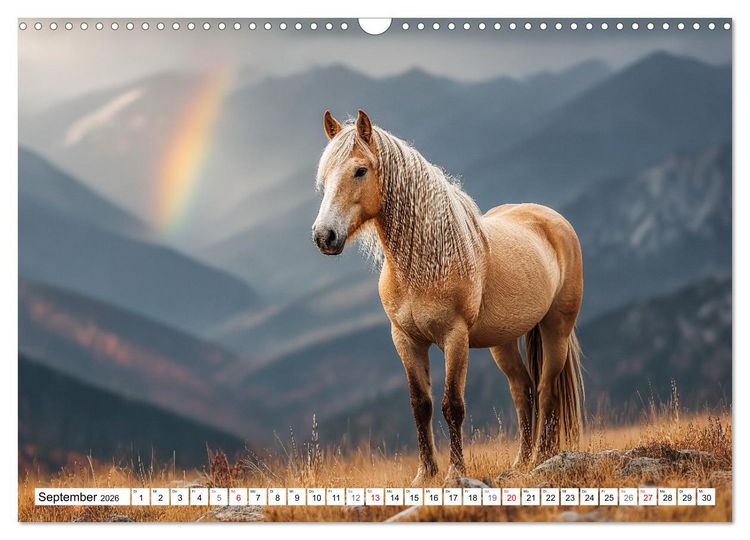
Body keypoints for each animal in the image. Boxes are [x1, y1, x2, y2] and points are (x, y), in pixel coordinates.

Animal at [312, 109, 584, 483]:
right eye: (324, 176)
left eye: (360, 170)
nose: (324, 236)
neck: (424, 263)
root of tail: (553, 219)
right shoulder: (406, 339)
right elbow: (421, 405)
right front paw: (425, 474)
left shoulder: (455, 338)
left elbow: (452, 405)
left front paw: (455, 472)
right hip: (504, 341)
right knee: (522, 389)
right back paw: (521, 462)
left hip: (556, 328)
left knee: (546, 390)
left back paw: (543, 456)